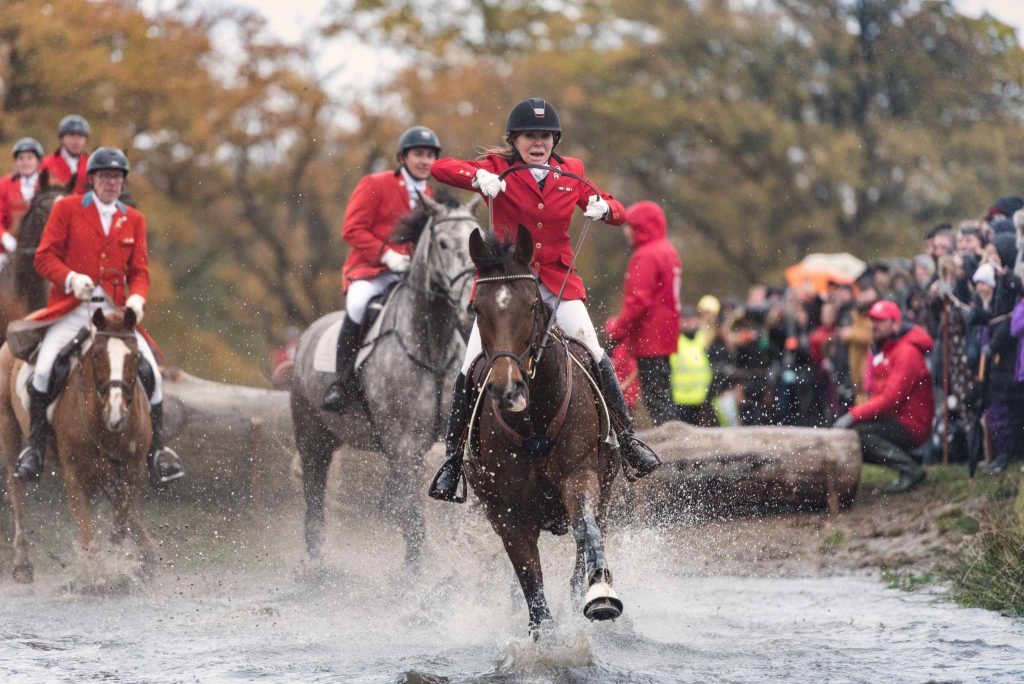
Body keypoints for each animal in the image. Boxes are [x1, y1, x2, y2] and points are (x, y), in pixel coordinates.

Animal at [0, 307, 155, 581]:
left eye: (135, 356)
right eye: (96, 355)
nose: (116, 414)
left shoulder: (133, 469)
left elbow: (123, 512)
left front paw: (134, 551)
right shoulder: (75, 474)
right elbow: (87, 530)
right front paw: (95, 573)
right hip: (8, 427)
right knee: (15, 487)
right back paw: (22, 562)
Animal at [288, 192, 479, 561]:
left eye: (476, 238)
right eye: (443, 243)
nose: (470, 302)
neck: (431, 347)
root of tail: (308, 335)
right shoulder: (404, 448)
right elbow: (414, 524)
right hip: (313, 440)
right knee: (314, 509)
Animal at [464, 227, 622, 634]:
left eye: (532, 305)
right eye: (477, 309)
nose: (507, 389)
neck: (533, 420)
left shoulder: (581, 476)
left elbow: (586, 528)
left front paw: (600, 593)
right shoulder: (507, 515)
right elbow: (530, 583)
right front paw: (545, 635)